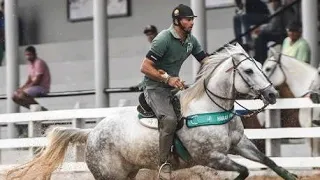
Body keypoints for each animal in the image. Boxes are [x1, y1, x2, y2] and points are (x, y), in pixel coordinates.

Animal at [6, 43, 298, 179]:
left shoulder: (240, 145)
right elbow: (244, 171)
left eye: (261, 66)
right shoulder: (211, 157)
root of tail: (91, 133)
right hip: (110, 176)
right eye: (249, 70)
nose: (272, 94)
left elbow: (269, 162)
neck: (210, 108)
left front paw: (291, 174)